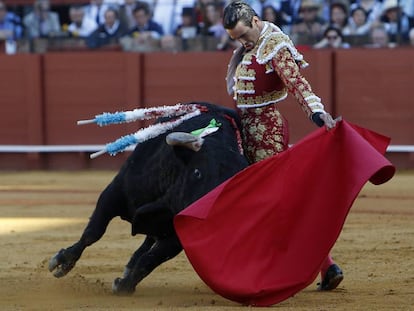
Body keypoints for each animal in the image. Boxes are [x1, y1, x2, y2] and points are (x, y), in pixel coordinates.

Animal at [48, 103, 249, 296]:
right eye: (197, 172)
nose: (204, 219)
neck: (167, 198)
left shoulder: (177, 235)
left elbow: (152, 259)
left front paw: (124, 285)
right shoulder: (113, 193)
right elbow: (93, 232)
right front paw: (62, 261)